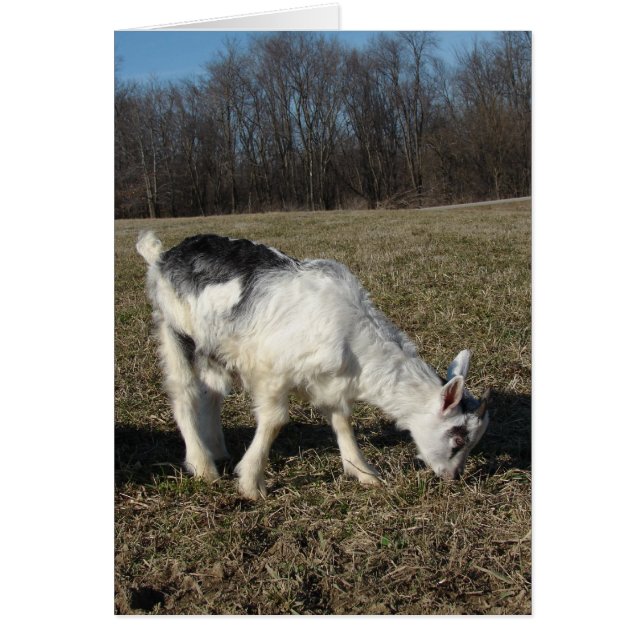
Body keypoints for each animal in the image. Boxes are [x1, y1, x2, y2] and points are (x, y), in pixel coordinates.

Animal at [136, 231, 490, 500]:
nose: (454, 476)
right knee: (184, 395)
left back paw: (217, 450)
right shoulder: (272, 372)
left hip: (216, 347)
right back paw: (203, 466)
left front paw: (364, 472)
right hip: (175, 331)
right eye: (458, 439)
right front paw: (251, 483)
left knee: (212, 393)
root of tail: (163, 256)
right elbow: (275, 421)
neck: (351, 332)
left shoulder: (330, 380)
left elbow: (342, 420)